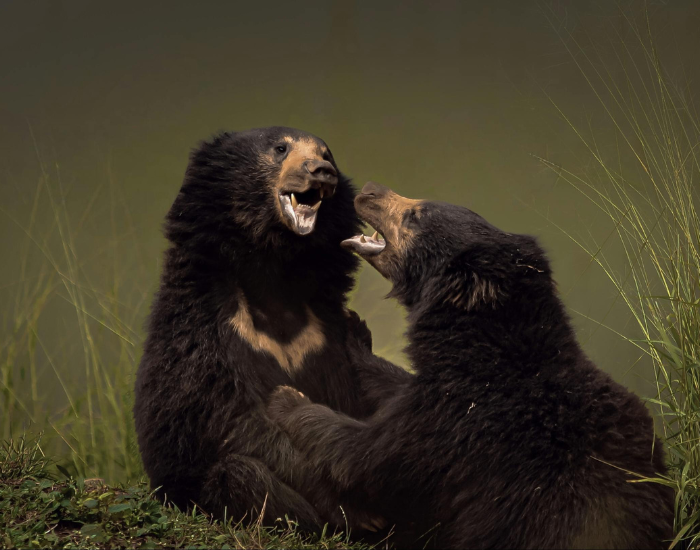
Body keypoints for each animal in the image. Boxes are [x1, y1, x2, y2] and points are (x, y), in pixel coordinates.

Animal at [133, 129, 412, 532]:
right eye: (281, 148)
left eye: (327, 153)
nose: (321, 171)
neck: (275, 273)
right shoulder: (208, 330)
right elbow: (233, 420)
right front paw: (359, 510)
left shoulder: (324, 331)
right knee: (240, 475)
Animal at [267, 181, 675, 549]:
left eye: (417, 214)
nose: (367, 190)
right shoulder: (440, 391)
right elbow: (394, 386)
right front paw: (355, 332)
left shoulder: (458, 424)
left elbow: (366, 455)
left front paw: (288, 398)